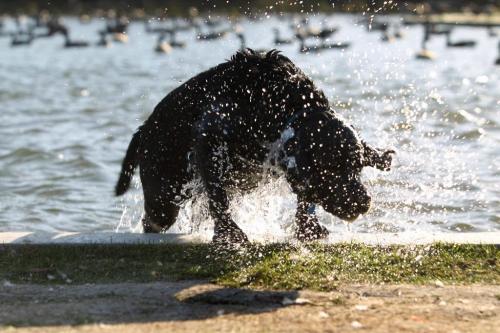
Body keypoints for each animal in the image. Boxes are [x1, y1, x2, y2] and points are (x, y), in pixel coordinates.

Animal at [115, 48, 392, 241]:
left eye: (357, 166)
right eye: (332, 167)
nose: (364, 202)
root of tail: (143, 130)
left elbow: (304, 196)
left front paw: (307, 227)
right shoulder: (209, 137)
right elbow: (218, 197)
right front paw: (229, 233)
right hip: (163, 197)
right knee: (152, 221)